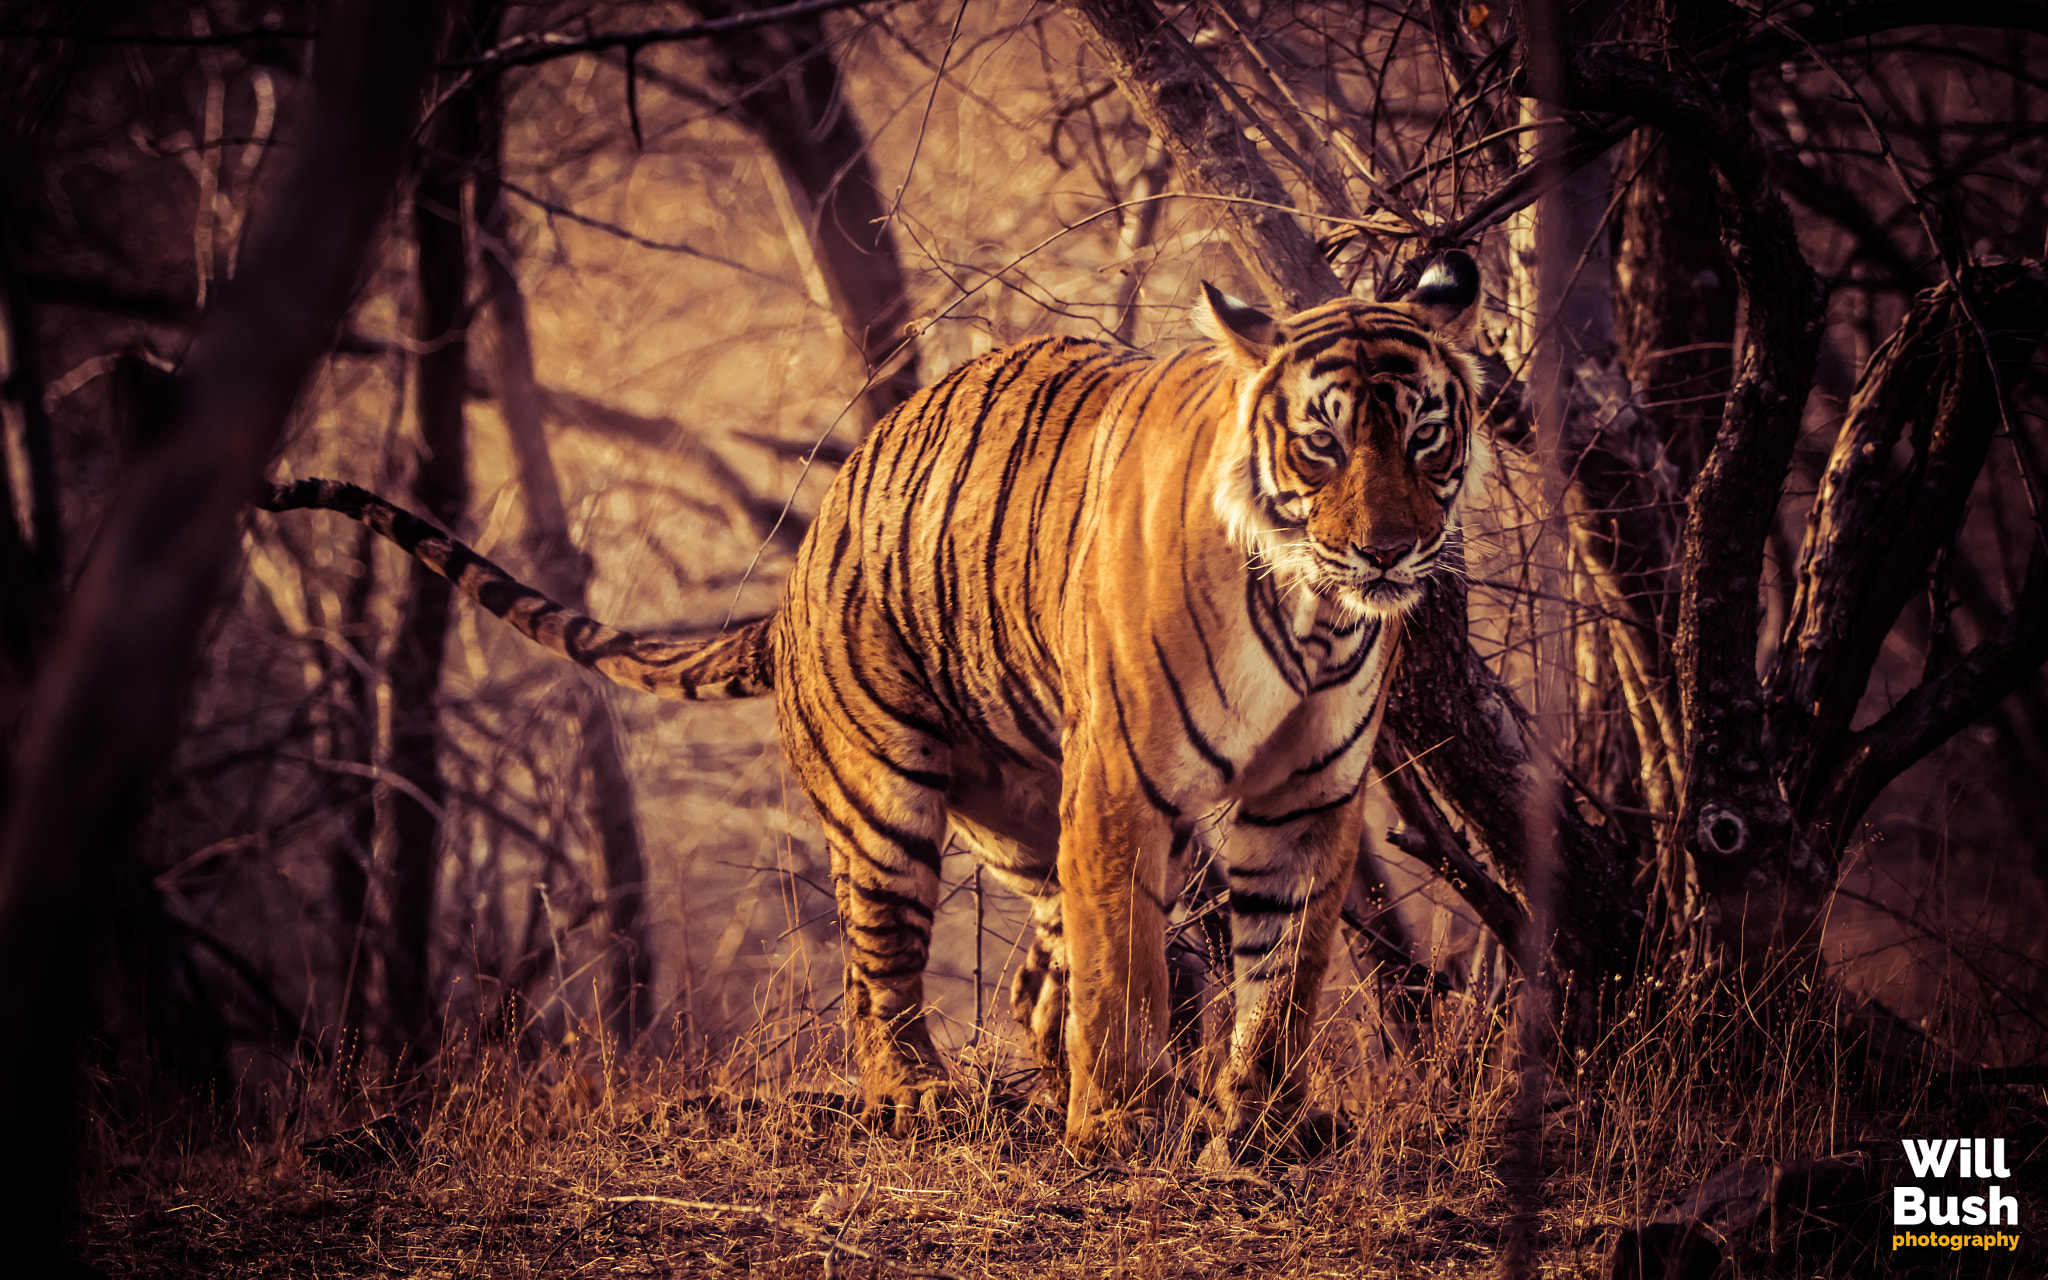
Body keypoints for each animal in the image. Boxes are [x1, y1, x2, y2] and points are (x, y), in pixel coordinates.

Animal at [268, 249, 1490, 1155]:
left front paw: (1263, 1126)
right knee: (882, 980)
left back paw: (1048, 1078)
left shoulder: (1307, 800)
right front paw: (1117, 1129)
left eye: (1426, 434)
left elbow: (1283, 977)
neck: (1310, 611)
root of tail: (796, 572)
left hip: (1031, 811)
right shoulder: (1121, 785)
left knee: (1036, 975)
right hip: (888, 801)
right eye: (1322, 441)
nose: (1387, 549)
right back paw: (923, 1094)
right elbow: (1128, 977)